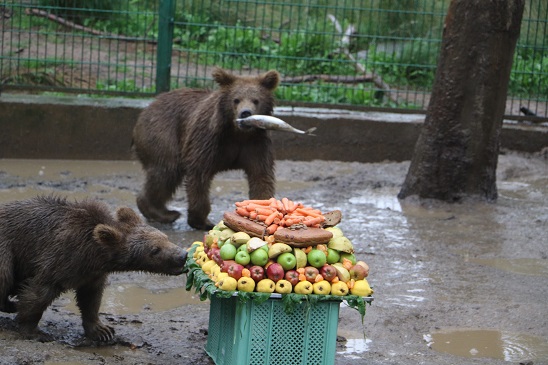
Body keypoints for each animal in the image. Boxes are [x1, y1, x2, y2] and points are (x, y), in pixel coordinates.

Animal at [0, 195, 186, 340]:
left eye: (165, 237)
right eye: (154, 250)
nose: (182, 255)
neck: (94, 255)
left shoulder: (92, 274)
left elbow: (91, 299)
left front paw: (102, 330)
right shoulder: (59, 258)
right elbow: (38, 294)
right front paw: (32, 330)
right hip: (6, 250)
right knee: (5, 275)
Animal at [131, 67, 280, 229]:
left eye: (256, 100)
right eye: (236, 99)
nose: (245, 112)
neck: (237, 134)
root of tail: (149, 105)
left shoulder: (256, 144)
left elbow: (260, 176)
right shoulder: (208, 140)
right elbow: (199, 174)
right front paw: (202, 221)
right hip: (163, 132)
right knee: (166, 171)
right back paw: (164, 213)